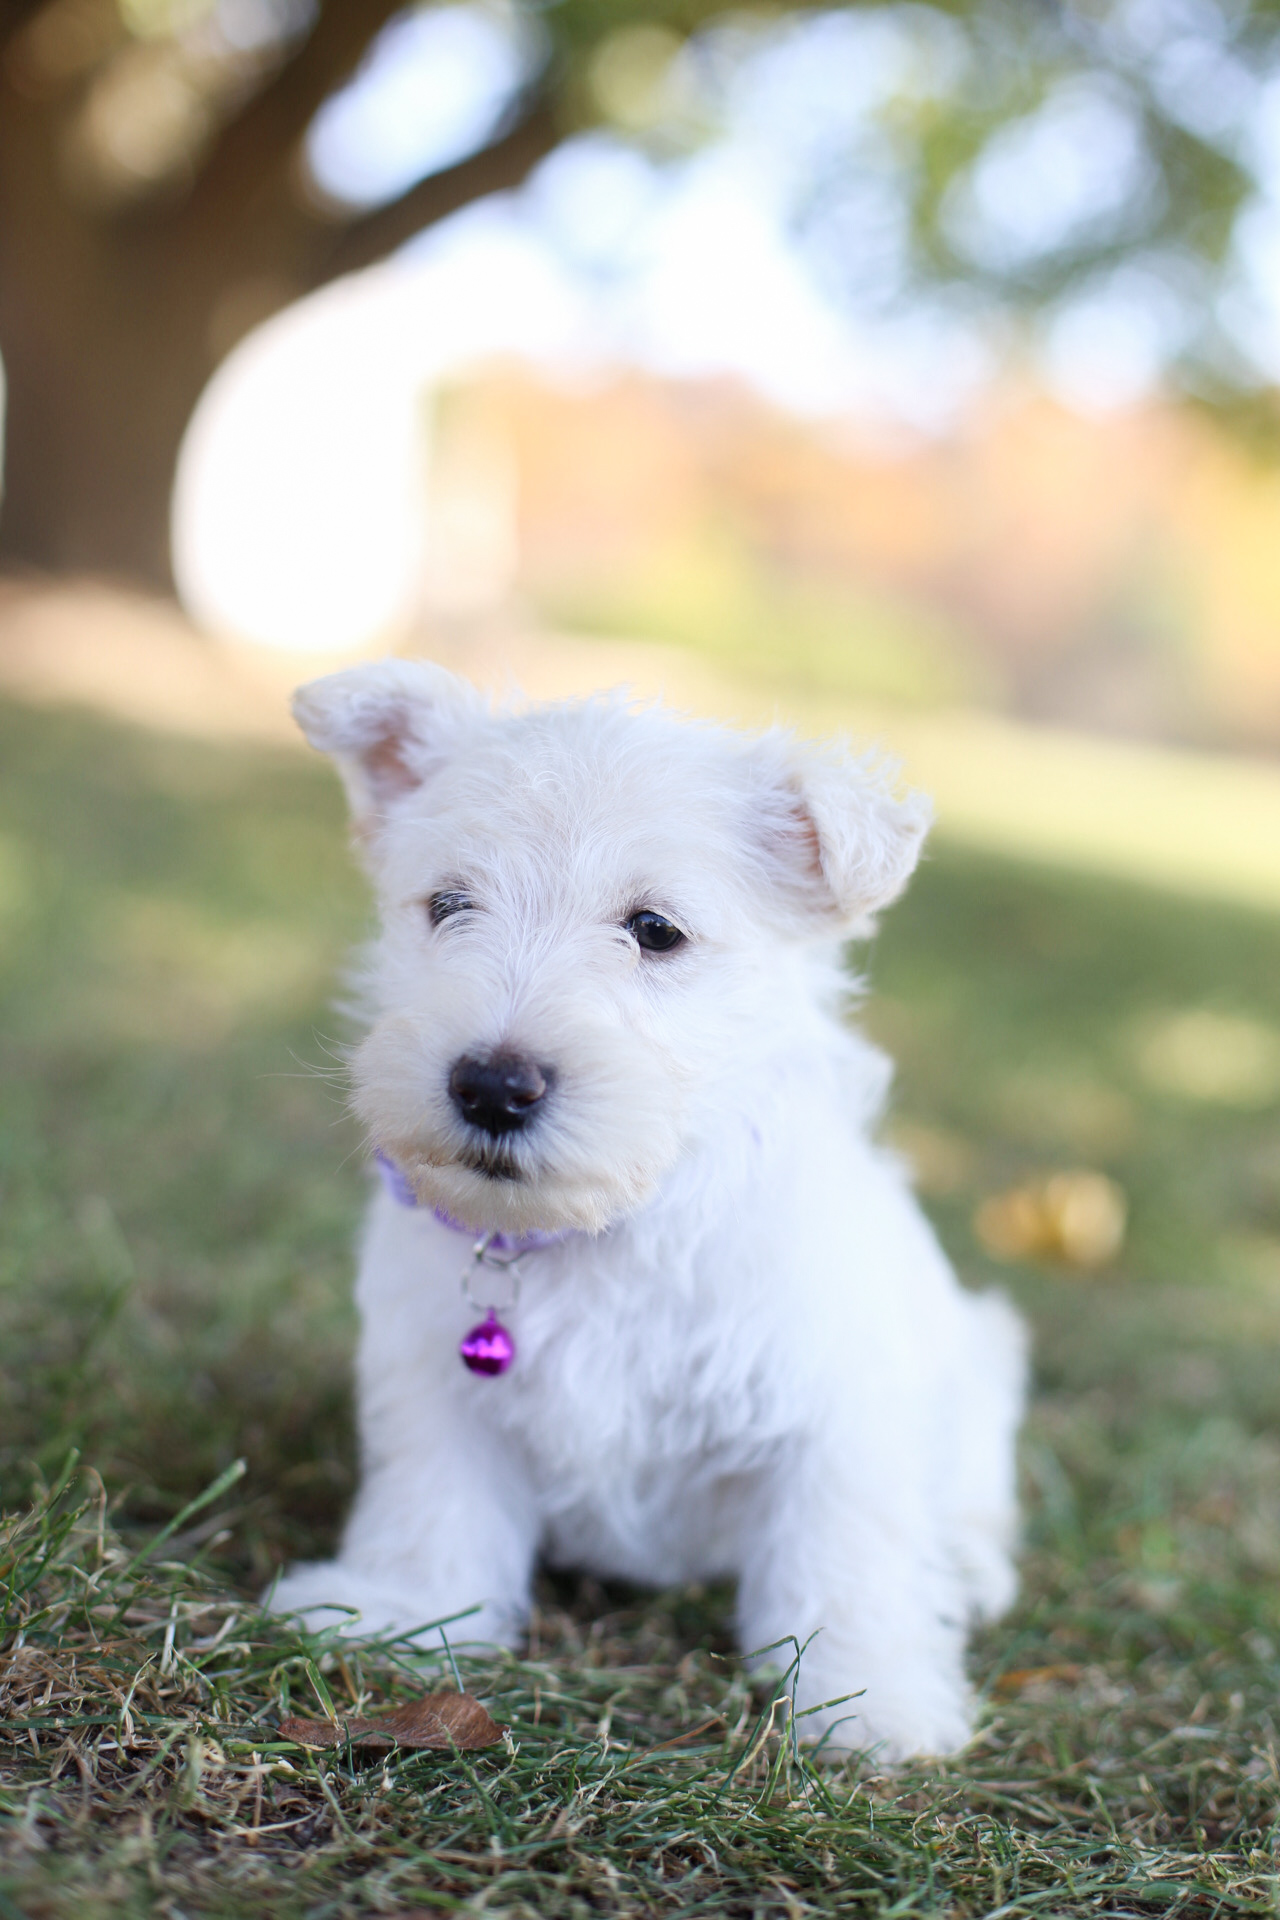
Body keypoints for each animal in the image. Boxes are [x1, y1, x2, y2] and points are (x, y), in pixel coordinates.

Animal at [272, 664, 1028, 1766]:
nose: (492, 1085)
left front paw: (866, 1703)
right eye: (449, 905)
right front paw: (397, 1611)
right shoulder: (434, 1382)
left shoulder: (833, 1410)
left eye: (655, 930)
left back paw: (966, 1570)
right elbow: (433, 1505)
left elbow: (847, 1557)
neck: (608, 1224)